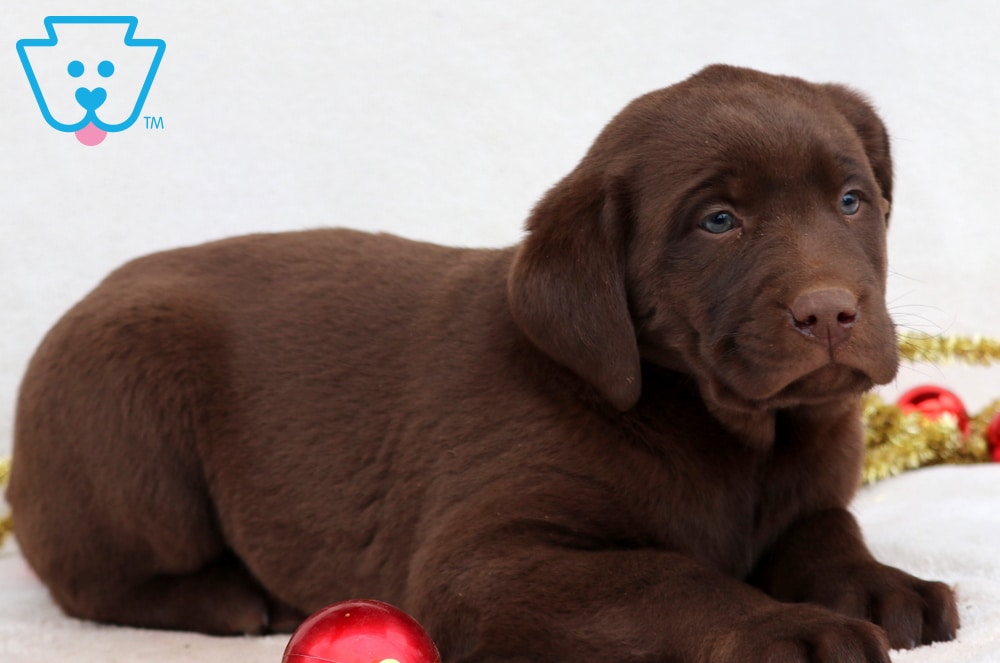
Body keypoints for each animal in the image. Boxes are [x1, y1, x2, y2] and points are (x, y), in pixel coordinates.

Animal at [8, 65, 958, 662]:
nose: (830, 311)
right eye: (717, 221)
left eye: (852, 200)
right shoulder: (486, 563)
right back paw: (233, 599)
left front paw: (883, 586)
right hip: (130, 422)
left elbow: (829, 530)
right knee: (90, 578)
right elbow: (669, 574)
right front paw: (789, 628)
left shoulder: (810, 490)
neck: (730, 432)